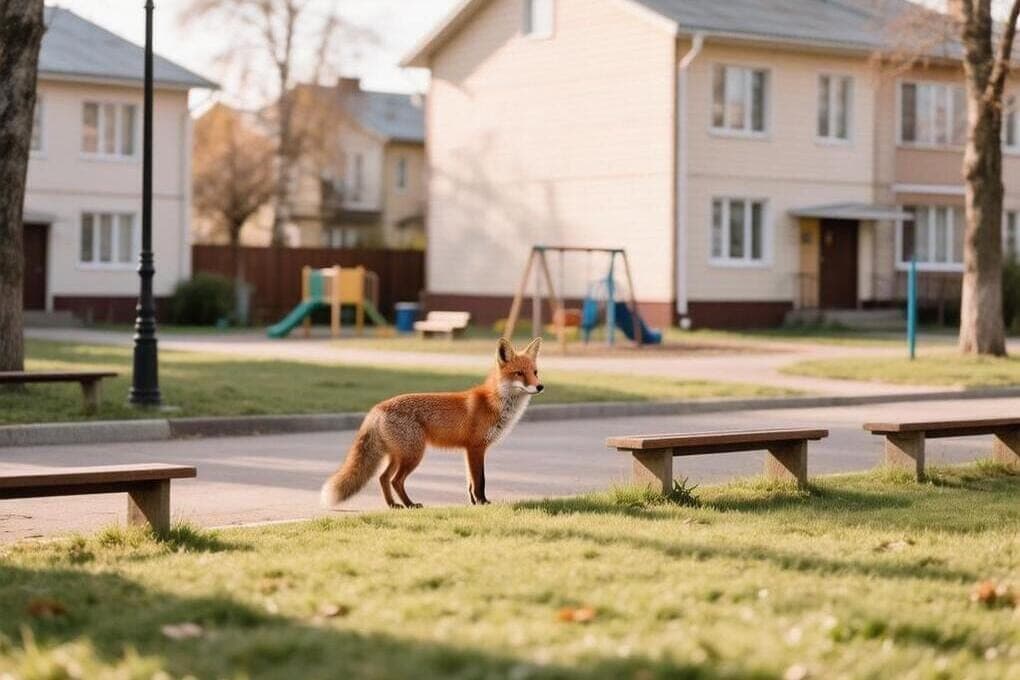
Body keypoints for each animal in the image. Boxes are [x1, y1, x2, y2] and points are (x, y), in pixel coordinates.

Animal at [320, 337, 544, 509]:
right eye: (519, 373)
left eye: (535, 372)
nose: (540, 386)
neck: (494, 403)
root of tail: (378, 407)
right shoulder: (476, 448)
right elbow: (480, 480)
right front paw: (482, 503)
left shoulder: (469, 451)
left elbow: (470, 482)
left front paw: (473, 503)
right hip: (414, 454)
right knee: (395, 480)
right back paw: (410, 504)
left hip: (399, 455)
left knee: (383, 478)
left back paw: (393, 505)